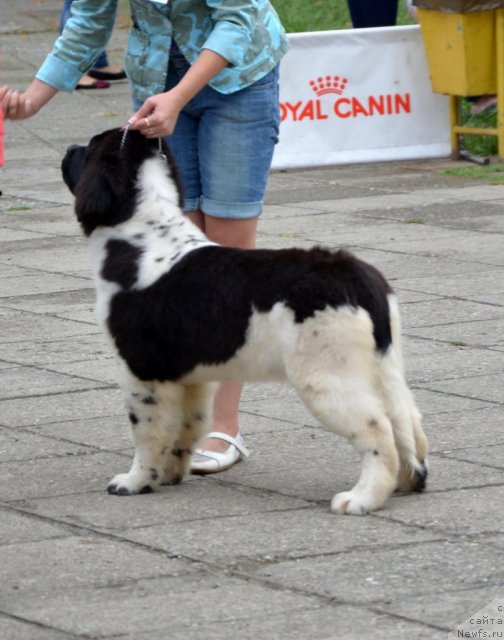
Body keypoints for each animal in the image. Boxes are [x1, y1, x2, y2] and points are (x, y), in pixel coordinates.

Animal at [61, 130, 428, 516]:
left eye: (89, 148)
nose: (68, 148)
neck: (141, 236)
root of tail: (357, 278)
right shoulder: (189, 375)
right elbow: (185, 426)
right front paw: (171, 473)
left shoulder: (142, 369)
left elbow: (148, 432)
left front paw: (135, 481)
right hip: (383, 365)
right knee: (407, 420)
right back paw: (408, 480)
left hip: (326, 376)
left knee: (377, 430)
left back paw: (362, 498)